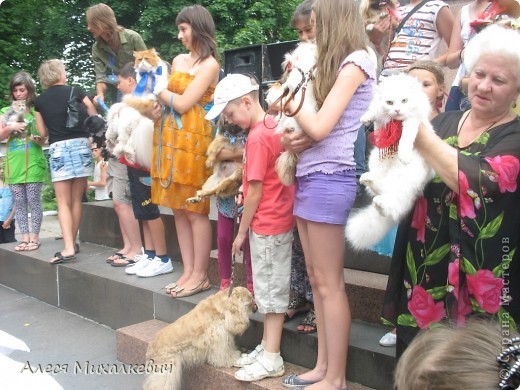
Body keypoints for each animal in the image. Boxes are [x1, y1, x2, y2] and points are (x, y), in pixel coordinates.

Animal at [346, 73, 434, 250]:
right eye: (389, 102)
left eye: (404, 101)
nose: (398, 110)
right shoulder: (380, 123)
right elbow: (374, 111)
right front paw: (366, 118)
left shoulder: (413, 121)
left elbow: (407, 136)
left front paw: (404, 155)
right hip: (375, 162)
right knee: (379, 188)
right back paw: (367, 179)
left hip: (405, 181)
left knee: (394, 205)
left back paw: (381, 204)